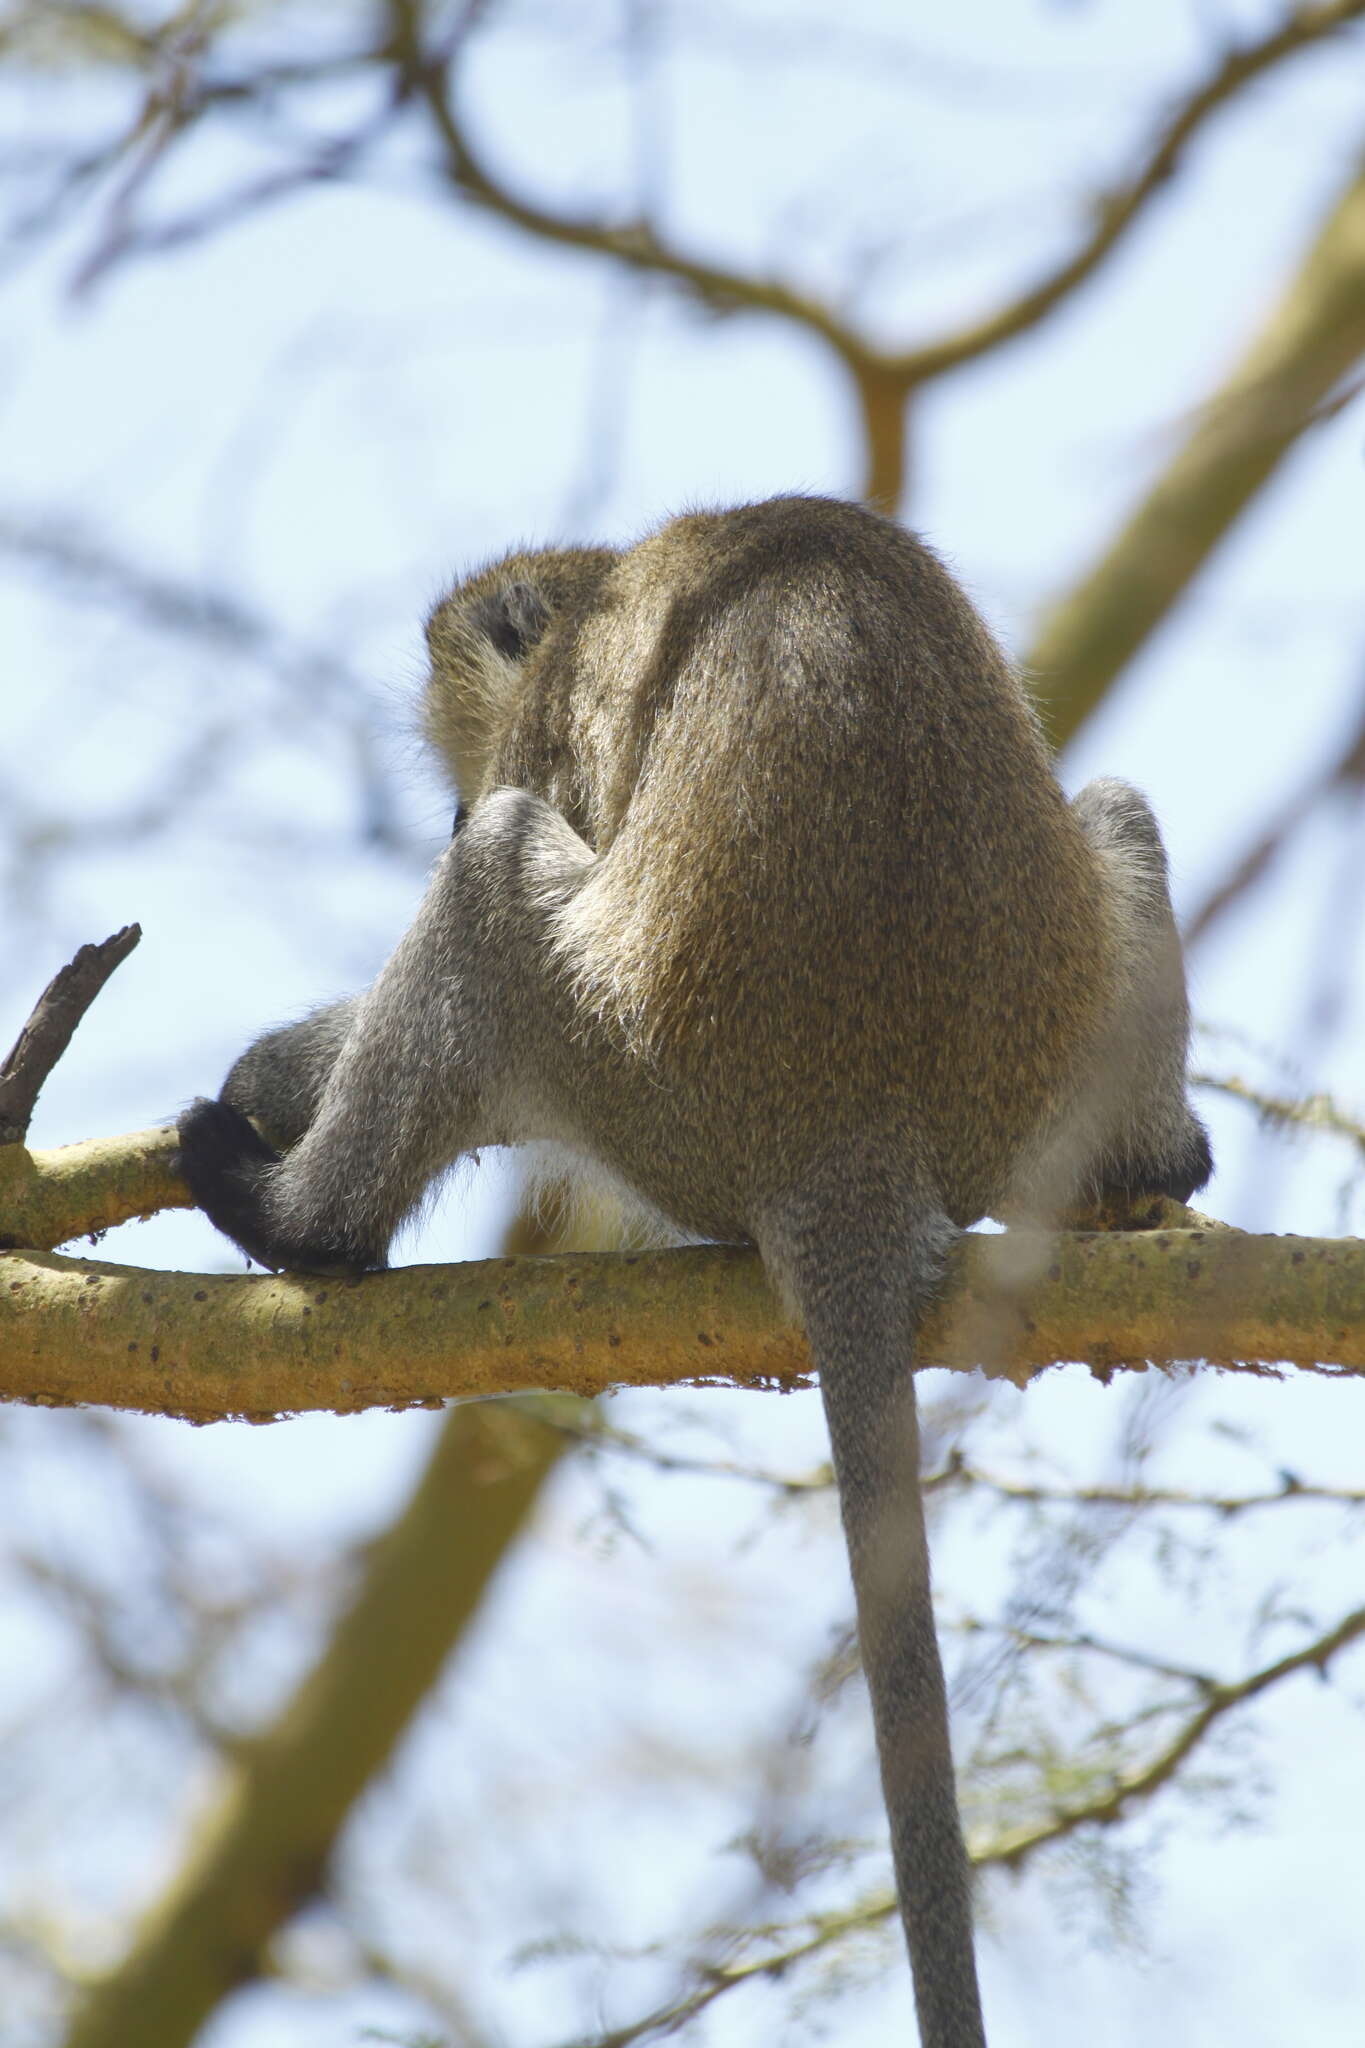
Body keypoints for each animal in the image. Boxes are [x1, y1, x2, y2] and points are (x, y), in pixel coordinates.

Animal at [175, 499, 1211, 2048]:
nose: (441, 810)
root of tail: (854, 1139)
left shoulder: (555, 718)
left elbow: (518, 820)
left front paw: (269, 1078)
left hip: (638, 1074)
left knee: (496, 877)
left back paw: (303, 1219)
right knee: (1121, 812)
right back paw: (1156, 1166)